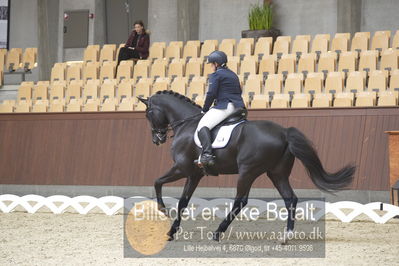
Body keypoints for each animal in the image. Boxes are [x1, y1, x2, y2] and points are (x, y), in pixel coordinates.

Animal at [138, 91, 356, 241]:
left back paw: (218, 232)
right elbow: (183, 201)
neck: (187, 124)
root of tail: (284, 133)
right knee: (290, 199)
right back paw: (286, 236)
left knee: (240, 202)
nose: (157, 139)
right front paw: (171, 231)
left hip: (247, 172)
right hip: (277, 173)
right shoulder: (194, 174)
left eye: (148, 113)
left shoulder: (182, 168)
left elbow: (157, 182)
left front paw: (163, 210)